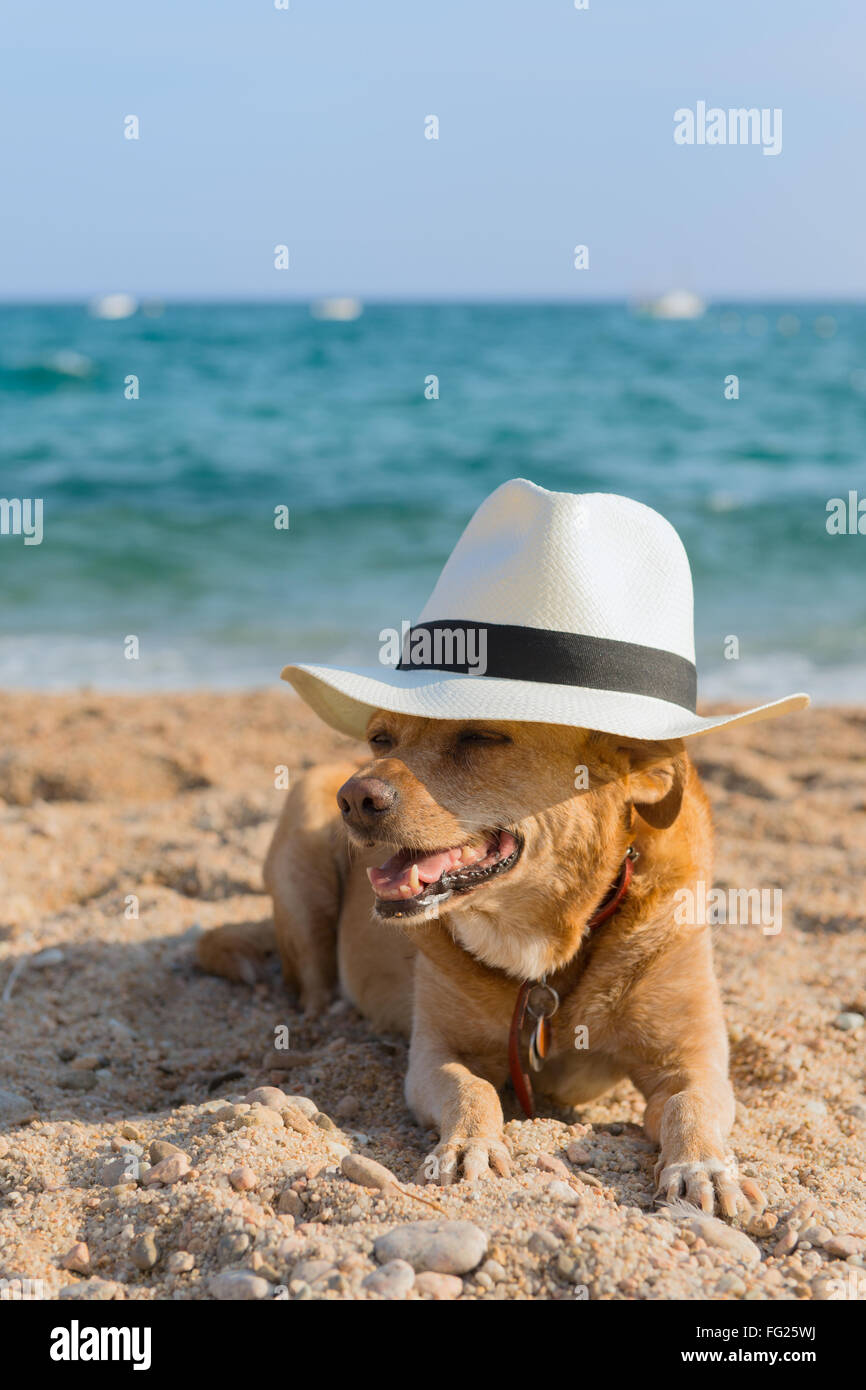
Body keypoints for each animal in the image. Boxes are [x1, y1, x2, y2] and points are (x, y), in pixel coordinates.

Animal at [198, 711, 767, 1223]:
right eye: (380, 739)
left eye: (481, 737)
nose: (355, 798)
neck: (545, 951)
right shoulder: (435, 1056)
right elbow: (473, 1090)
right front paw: (468, 1145)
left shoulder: (691, 1064)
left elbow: (687, 1106)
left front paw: (702, 1167)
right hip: (301, 855)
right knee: (312, 986)